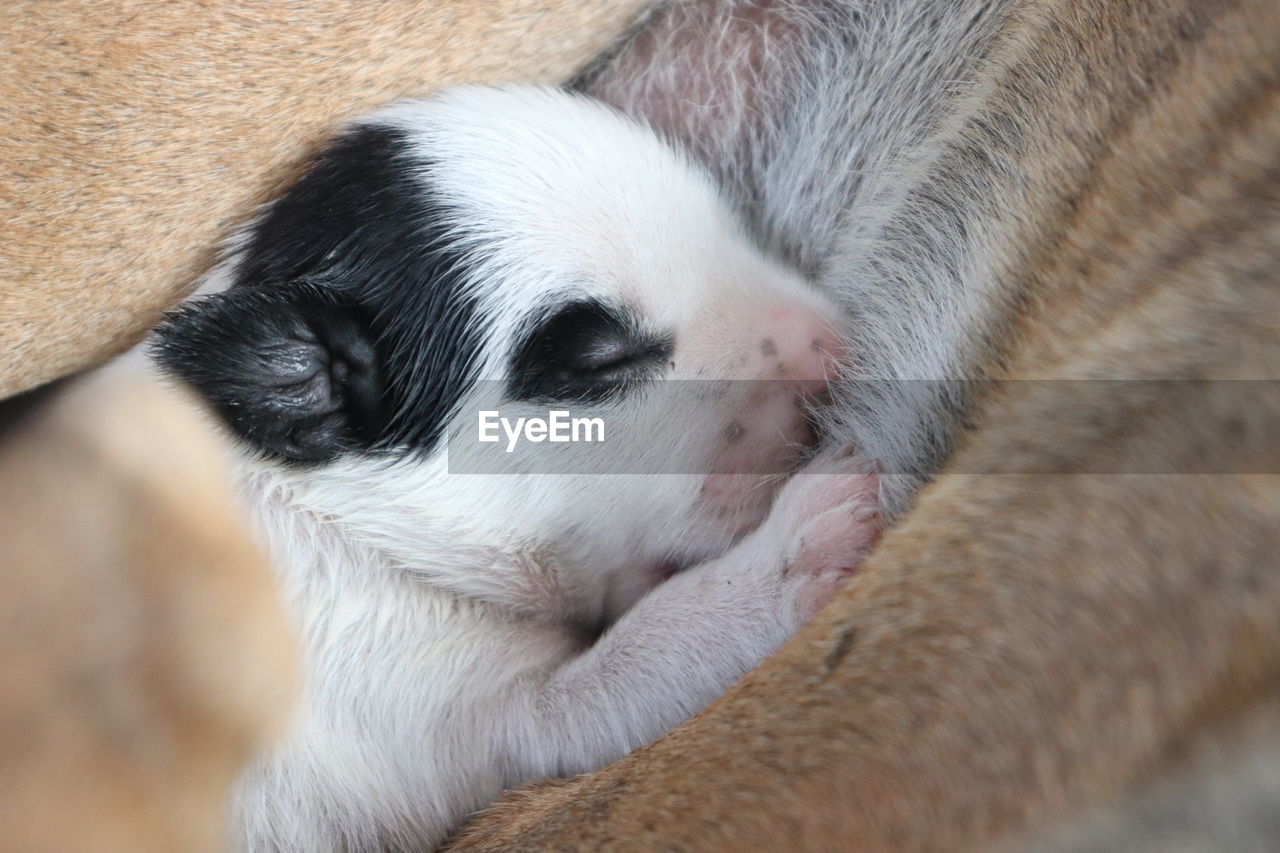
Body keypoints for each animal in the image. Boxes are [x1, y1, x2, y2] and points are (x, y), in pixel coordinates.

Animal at [152, 86, 880, 850]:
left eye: (731, 231)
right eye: (602, 363)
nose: (833, 349)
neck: (343, 516)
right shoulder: (470, 710)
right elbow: (647, 647)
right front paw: (795, 550)